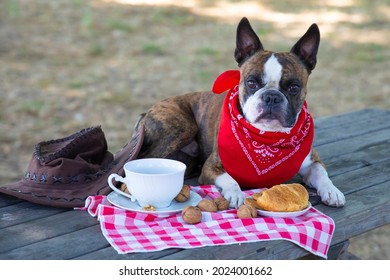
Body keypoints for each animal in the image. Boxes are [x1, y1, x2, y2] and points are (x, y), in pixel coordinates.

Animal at [136, 17, 346, 209]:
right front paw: (235, 193)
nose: (271, 97)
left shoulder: (312, 162)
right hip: (182, 127)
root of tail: (146, 112)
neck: (267, 139)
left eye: (294, 87)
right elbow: (229, 179)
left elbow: (322, 173)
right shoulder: (212, 167)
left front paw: (332, 190)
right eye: (251, 82)